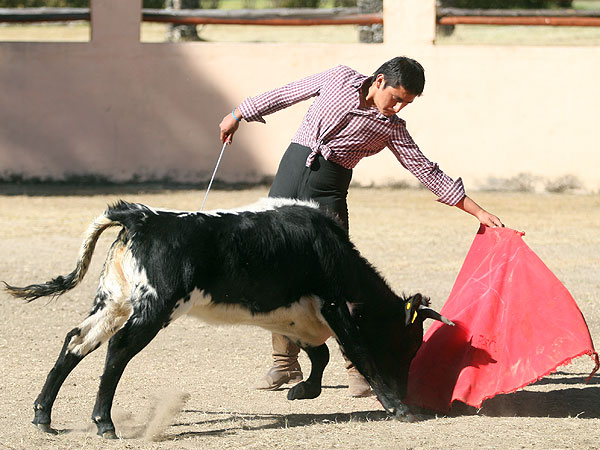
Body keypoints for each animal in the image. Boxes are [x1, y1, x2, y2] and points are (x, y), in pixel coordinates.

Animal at [4, 197, 452, 436]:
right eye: (408, 343)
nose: (407, 389)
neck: (329, 249)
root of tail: (142, 216)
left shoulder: (296, 317)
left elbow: (320, 355)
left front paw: (301, 391)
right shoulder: (334, 308)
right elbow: (359, 354)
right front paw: (398, 408)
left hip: (113, 301)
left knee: (77, 342)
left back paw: (43, 416)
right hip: (153, 309)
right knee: (117, 350)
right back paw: (104, 423)